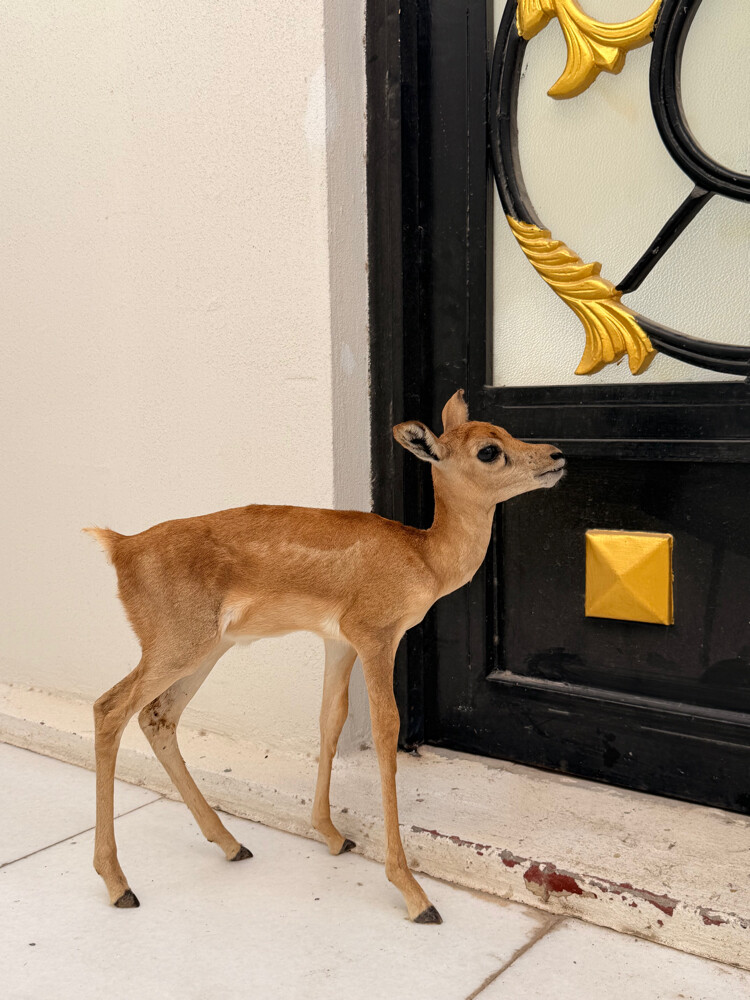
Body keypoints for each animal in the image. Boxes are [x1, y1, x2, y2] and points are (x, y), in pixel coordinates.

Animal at [84, 389, 565, 923]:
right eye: (488, 450)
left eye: (502, 431)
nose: (557, 455)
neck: (424, 557)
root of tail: (121, 547)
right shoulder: (376, 637)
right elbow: (386, 731)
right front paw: (415, 894)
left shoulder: (338, 643)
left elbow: (330, 720)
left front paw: (333, 836)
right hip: (173, 648)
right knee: (109, 708)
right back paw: (119, 885)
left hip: (205, 652)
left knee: (157, 716)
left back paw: (232, 844)